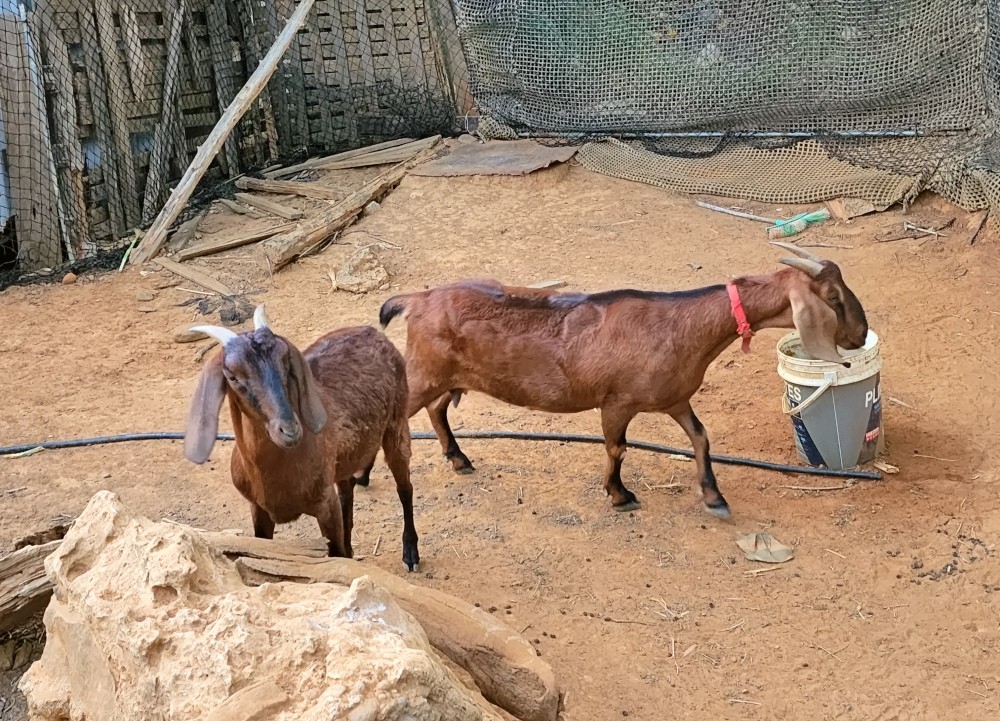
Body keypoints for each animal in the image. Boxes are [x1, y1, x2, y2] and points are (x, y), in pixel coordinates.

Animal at [183, 306, 418, 572]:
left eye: (285, 363)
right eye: (232, 376)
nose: (289, 429)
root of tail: (373, 332)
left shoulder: (325, 504)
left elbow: (337, 556)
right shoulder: (259, 509)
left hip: (397, 423)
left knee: (404, 487)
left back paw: (410, 553)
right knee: (347, 491)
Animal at [376, 242, 868, 516]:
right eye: (833, 298)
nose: (861, 335)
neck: (682, 325)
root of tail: (416, 299)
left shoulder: (674, 399)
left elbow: (701, 437)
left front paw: (714, 497)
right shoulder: (616, 401)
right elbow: (617, 448)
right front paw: (619, 494)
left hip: (447, 377)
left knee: (438, 408)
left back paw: (458, 458)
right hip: (424, 372)